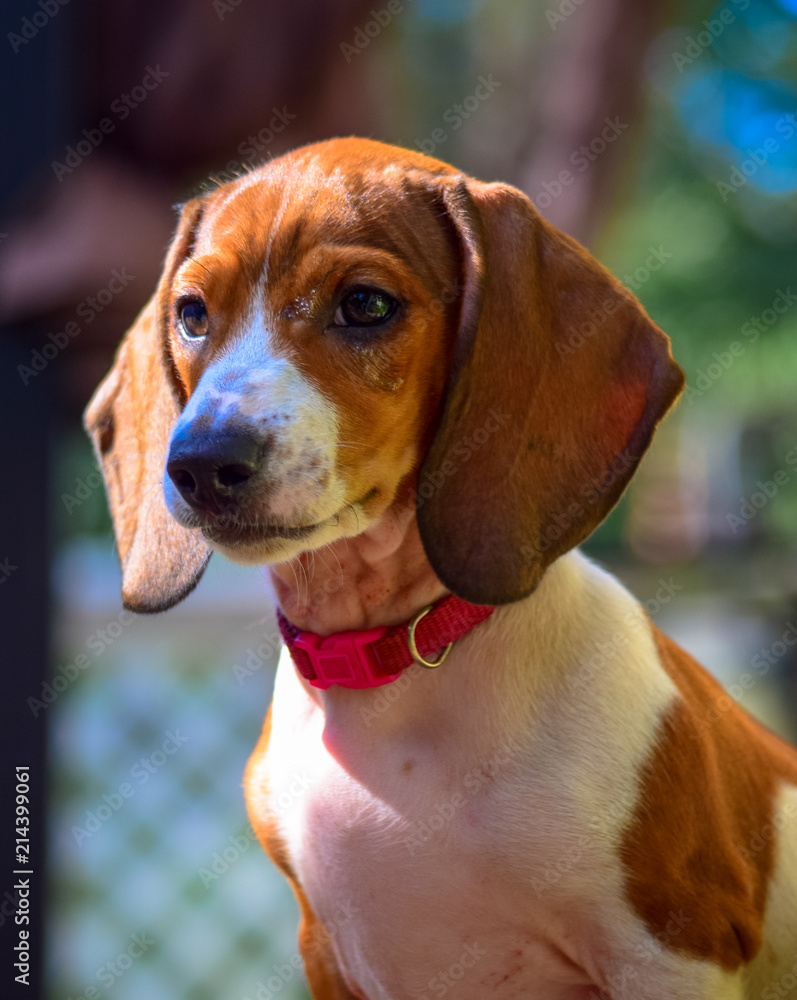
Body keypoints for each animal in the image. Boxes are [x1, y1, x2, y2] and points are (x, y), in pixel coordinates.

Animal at [85, 135, 796, 1000]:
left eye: (365, 305)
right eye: (190, 315)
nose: (198, 464)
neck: (394, 673)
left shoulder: (670, 951)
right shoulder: (327, 956)